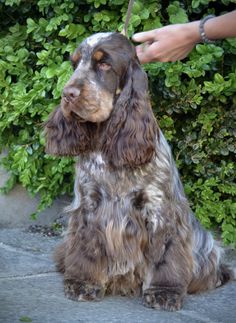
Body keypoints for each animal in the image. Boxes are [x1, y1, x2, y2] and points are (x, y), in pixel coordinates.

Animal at [44, 32, 234, 312]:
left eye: (104, 64)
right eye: (75, 64)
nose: (67, 94)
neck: (109, 144)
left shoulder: (160, 210)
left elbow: (166, 254)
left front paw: (164, 292)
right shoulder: (89, 205)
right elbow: (87, 246)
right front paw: (83, 282)